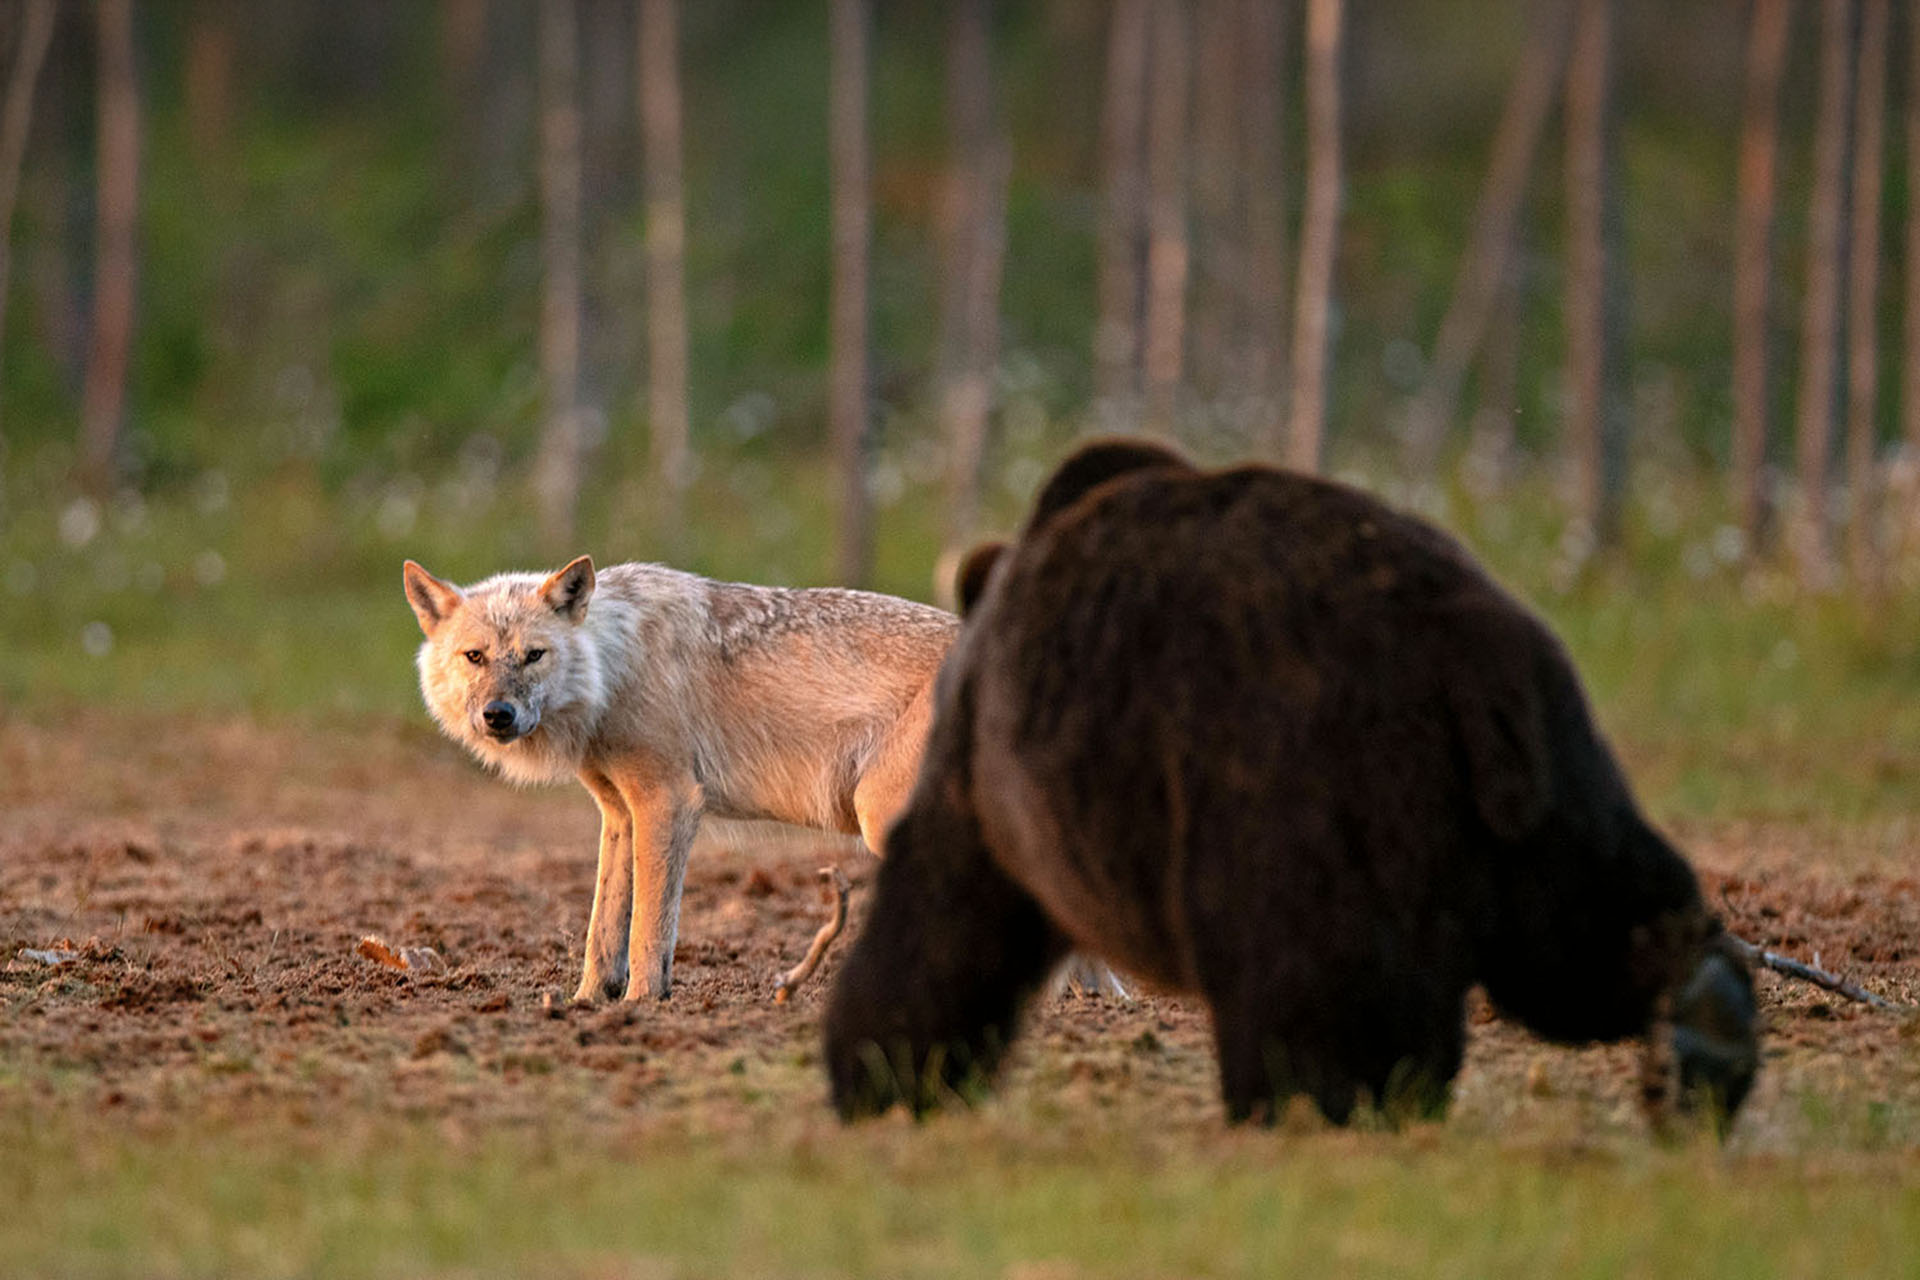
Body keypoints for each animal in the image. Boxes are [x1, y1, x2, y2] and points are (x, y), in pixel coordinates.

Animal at [401, 555, 1125, 1005]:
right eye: (475, 657)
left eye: (533, 655)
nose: (498, 715)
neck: (614, 662)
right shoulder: (619, 814)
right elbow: (602, 932)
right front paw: (586, 1003)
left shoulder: (668, 804)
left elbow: (648, 932)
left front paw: (642, 1005)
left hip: (887, 819)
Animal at [823, 439, 1759, 1129]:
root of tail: (1467, 664)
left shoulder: (989, 764)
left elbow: (951, 903)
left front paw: (882, 1068)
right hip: (1547, 763)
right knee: (1586, 927)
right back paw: (1705, 1025)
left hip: (1299, 779)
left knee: (1309, 964)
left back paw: (1308, 1098)